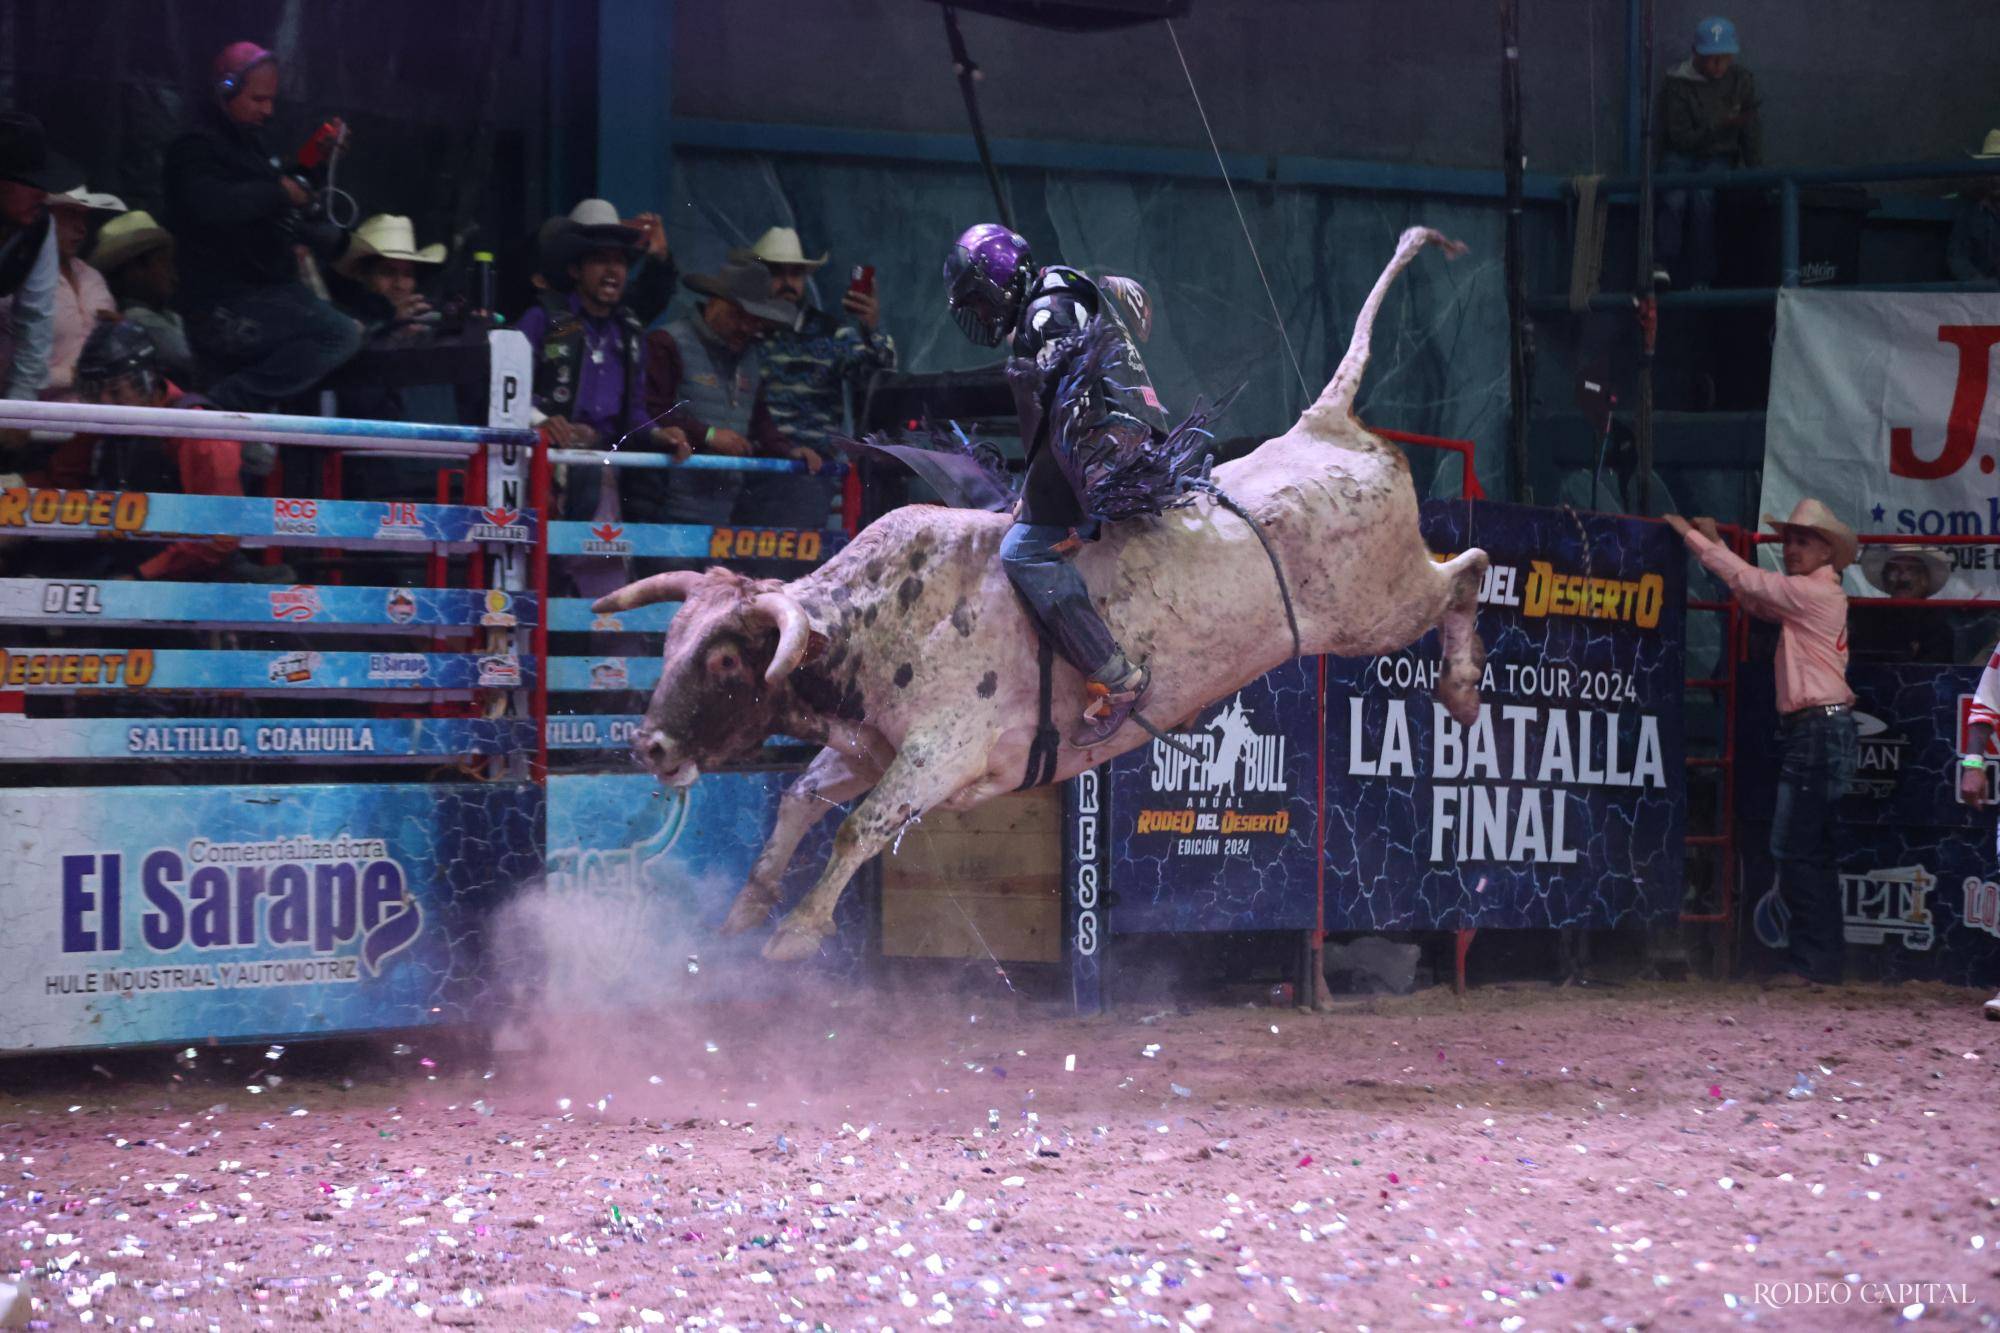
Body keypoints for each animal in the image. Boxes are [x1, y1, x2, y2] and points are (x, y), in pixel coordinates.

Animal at [592, 228, 1488, 956]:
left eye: (725, 660)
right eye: (671, 643)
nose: (650, 748)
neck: (875, 622)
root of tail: (1324, 423)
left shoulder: (940, 752)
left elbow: (860, 826)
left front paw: (797, 933)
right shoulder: (868, 748)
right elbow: (801, 798)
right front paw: (748, 909)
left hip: (1380, 600)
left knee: (1469, 568)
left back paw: (1464, 687)